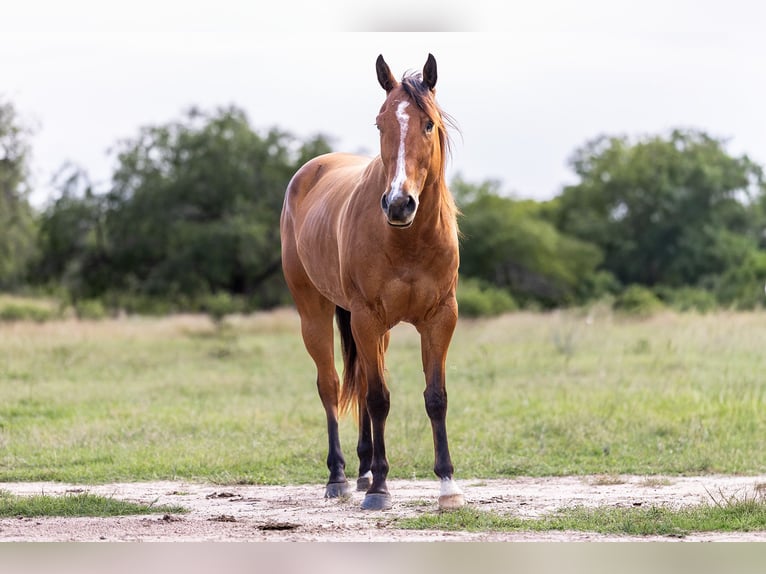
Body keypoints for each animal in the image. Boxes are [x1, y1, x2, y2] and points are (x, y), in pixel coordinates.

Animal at [280, 53, 464, 511]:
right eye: (381, 123)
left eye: (428, 124)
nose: (398, 204)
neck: (408, 239)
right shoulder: (366, 317)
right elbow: (379, 398)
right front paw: (381, 487)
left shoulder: (440, 318)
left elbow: (435, 397)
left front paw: (448, 485)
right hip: (316, 313)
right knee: (331, 386)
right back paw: (341, 476)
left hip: (377, 331)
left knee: (361, 382)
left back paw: (363, 470)